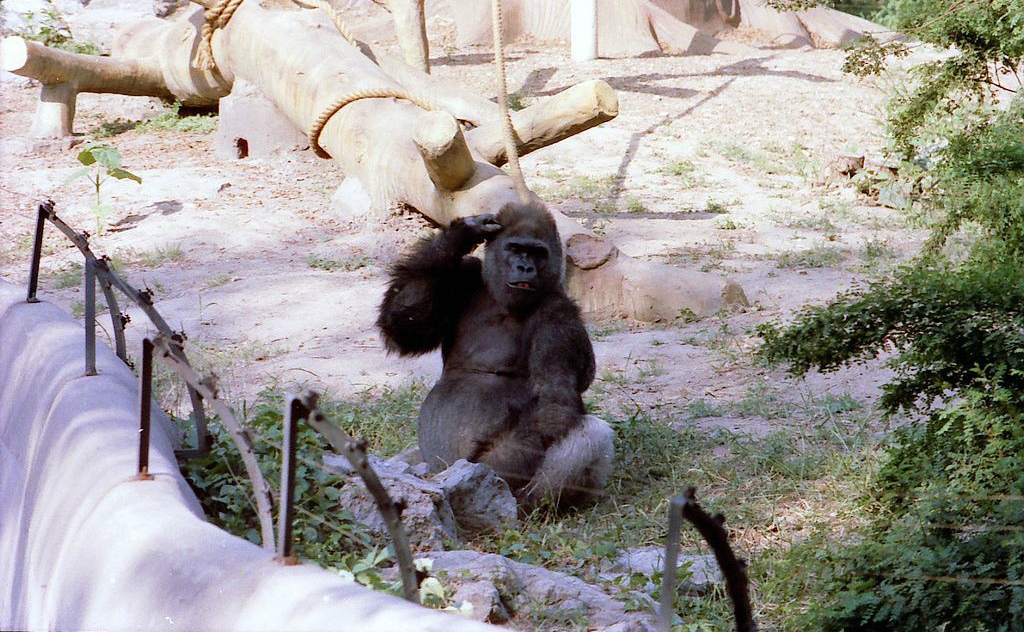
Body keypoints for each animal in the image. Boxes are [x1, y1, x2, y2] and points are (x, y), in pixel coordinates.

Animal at [377, 200, 613, 508]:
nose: (525, 267)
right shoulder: (464, 276)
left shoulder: (560, 315)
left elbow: (553, 400)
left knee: (591, 432)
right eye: (514, 248)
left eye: (538, 253)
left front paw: (487, 472)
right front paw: (461, 235)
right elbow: (404, 325)